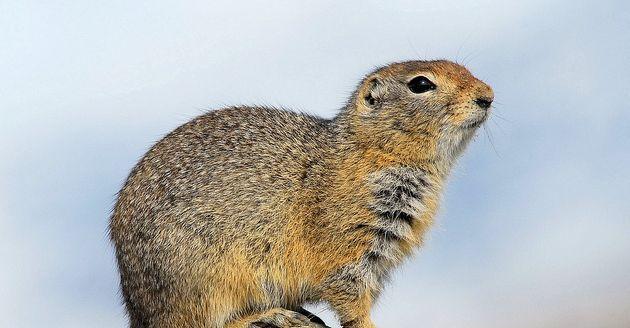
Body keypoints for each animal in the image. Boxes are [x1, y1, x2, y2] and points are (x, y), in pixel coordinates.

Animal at [112, 60, 498, 326]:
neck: (371, 151)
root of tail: (137, 307)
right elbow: (350, 296)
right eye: (421, 84)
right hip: (207, 280)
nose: (488, 96)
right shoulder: (351, 246)